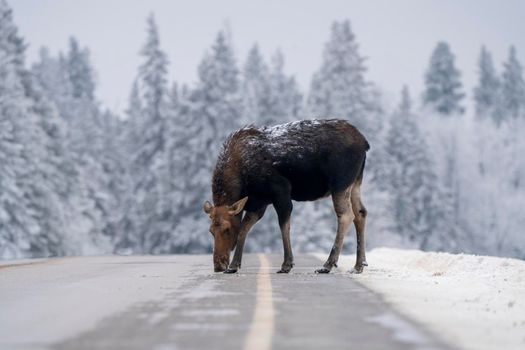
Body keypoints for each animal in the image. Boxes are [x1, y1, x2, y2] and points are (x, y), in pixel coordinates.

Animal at [202, 119, 368, 274]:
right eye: (210, 230)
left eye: (227, 228)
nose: (218, 265)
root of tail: (365, 143)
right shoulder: (259, 202)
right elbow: (244, 228)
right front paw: (234, 265)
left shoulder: (280, 191)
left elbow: (283, 226)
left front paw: (287, 264)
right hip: (355, 182)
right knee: (361, 213)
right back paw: (358, 265)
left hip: (340, 183)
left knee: (346, 215)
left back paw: (327, 265)